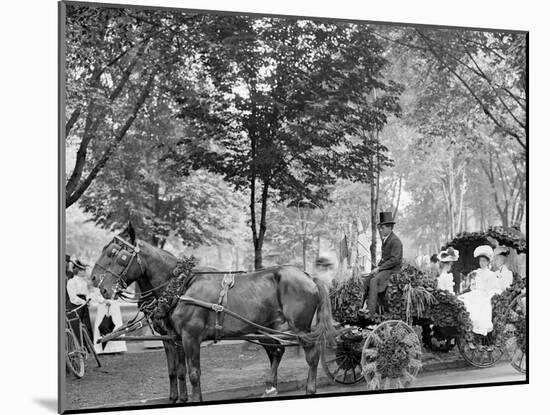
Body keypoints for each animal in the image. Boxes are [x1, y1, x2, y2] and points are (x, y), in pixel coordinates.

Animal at [90, 224, 338, 404]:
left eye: (115, 254)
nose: (94, 280)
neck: (180, 286)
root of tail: (308, 276)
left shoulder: (190, 337)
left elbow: (193, 373)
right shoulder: (174, 338)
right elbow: (176, 371)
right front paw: (177, 399)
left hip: (300, 329)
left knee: (312, 356)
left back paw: (310, 389)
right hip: (266, 328)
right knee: (276, 351)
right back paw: (270, 387)